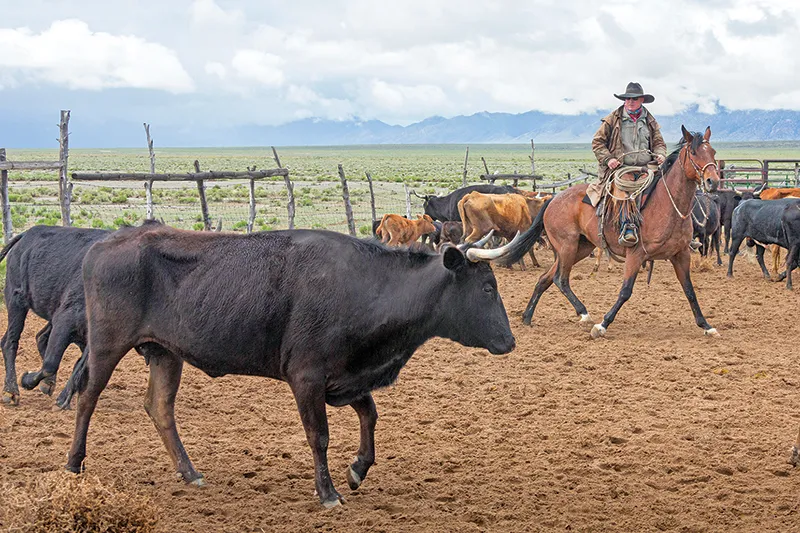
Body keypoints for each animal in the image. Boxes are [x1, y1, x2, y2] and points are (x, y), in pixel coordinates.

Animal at [494, 126, 721, 339]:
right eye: (693, 153)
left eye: (713, 152)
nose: (713, 181)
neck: (666, 205)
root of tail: (553, 199)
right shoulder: (636, 254)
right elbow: (625, 291)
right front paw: (602, 325)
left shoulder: (680, 255)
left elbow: (689, 291)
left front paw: (707, 326)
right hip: (567, 246)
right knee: (561, 279)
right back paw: (584, 313)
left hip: (579, 248)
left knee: (545, 278)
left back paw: (527, 317)